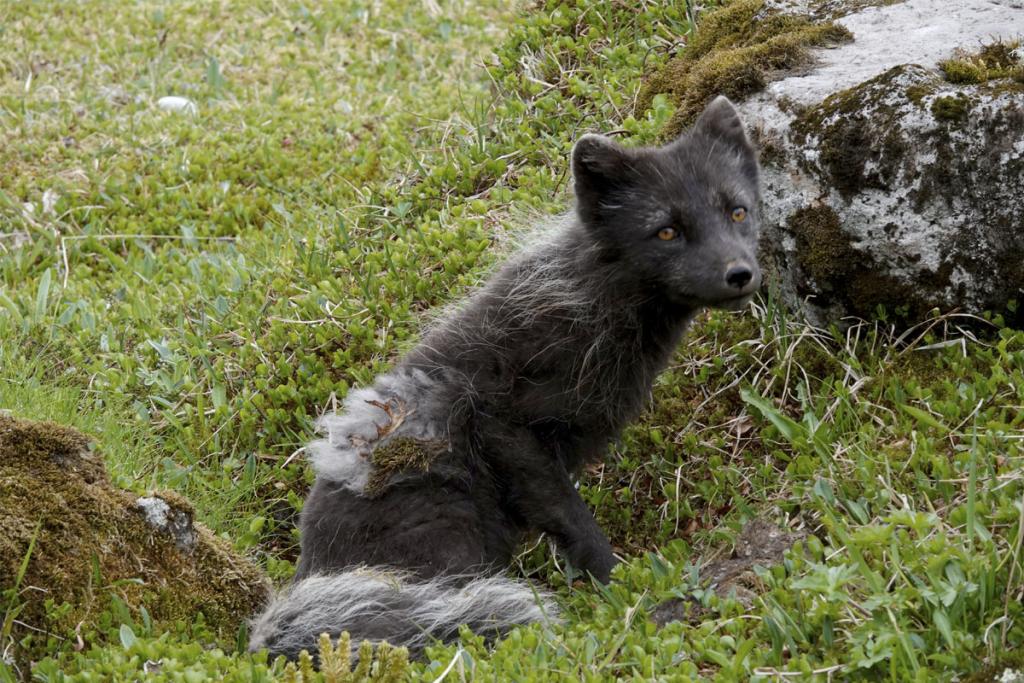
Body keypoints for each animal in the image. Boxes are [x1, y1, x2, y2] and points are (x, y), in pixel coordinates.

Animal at [247, 94, 761, 655]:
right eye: (667, 230)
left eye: (737, 211)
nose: (740, 274)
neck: (591, 297)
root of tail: (306, 580)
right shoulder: (507, 426)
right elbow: (572, 517)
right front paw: (618, 585)